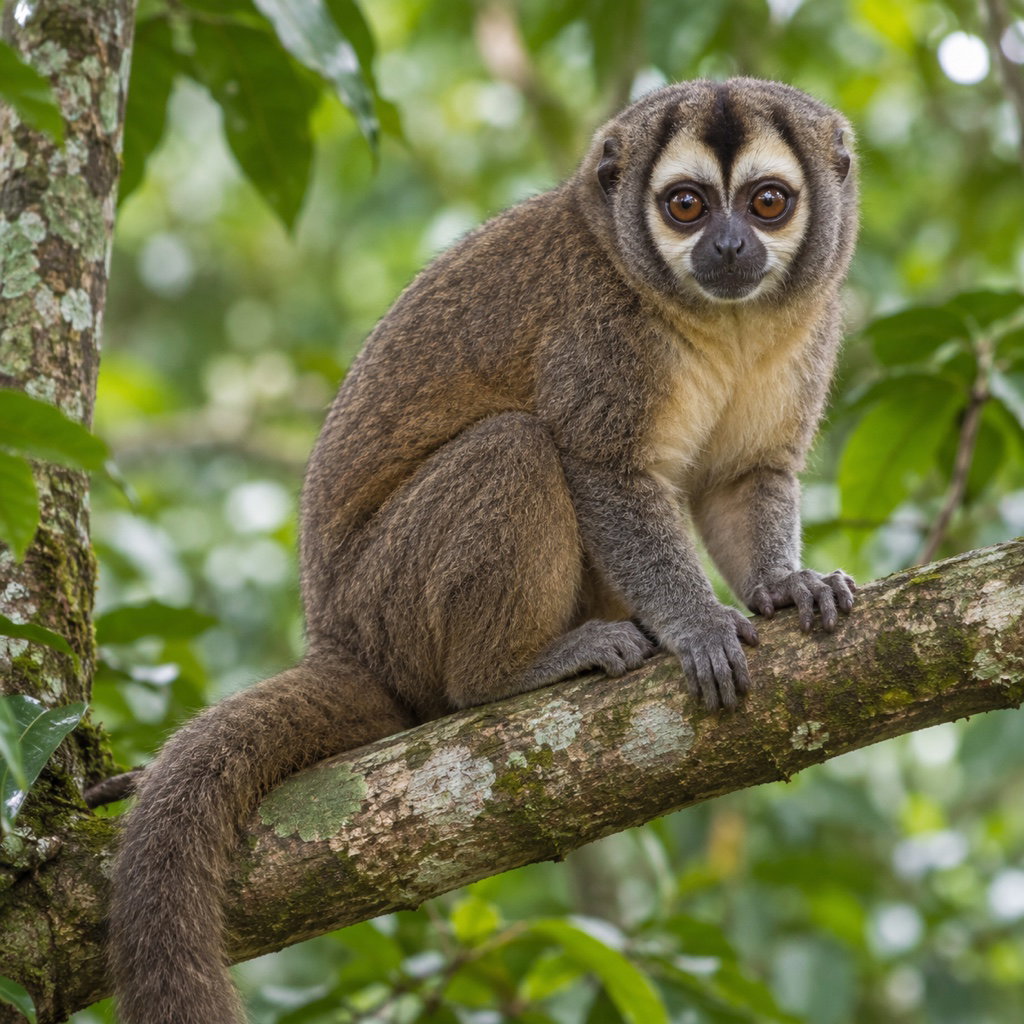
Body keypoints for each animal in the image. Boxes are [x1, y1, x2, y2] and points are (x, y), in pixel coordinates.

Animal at [109, 78, 858, 1024]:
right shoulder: (601, 333)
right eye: (685, 206)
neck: (725, 321)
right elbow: (598, 465)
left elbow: (743, 476)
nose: (727, 246)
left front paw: (786, 586)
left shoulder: (810, 327)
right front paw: (697, 626)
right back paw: (506, 674)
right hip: (392, 604)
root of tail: (342, 643)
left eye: (767, 203)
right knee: (515, 446)